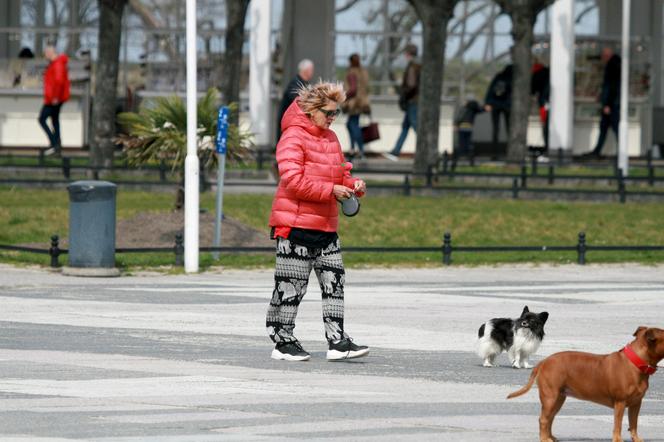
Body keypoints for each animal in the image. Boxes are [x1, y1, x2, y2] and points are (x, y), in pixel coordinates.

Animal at [506, 326, 660, 442]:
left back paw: (550, 437)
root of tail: (544, 361)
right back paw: (544, 439)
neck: (636, 362)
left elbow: (633, 423)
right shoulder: (620, 403)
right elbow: (618, 424)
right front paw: (618, 439)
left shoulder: (636, 404)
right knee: (543, 419)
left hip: (558, 398)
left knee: (550, 418)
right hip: (550, 397)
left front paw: (636, 439)